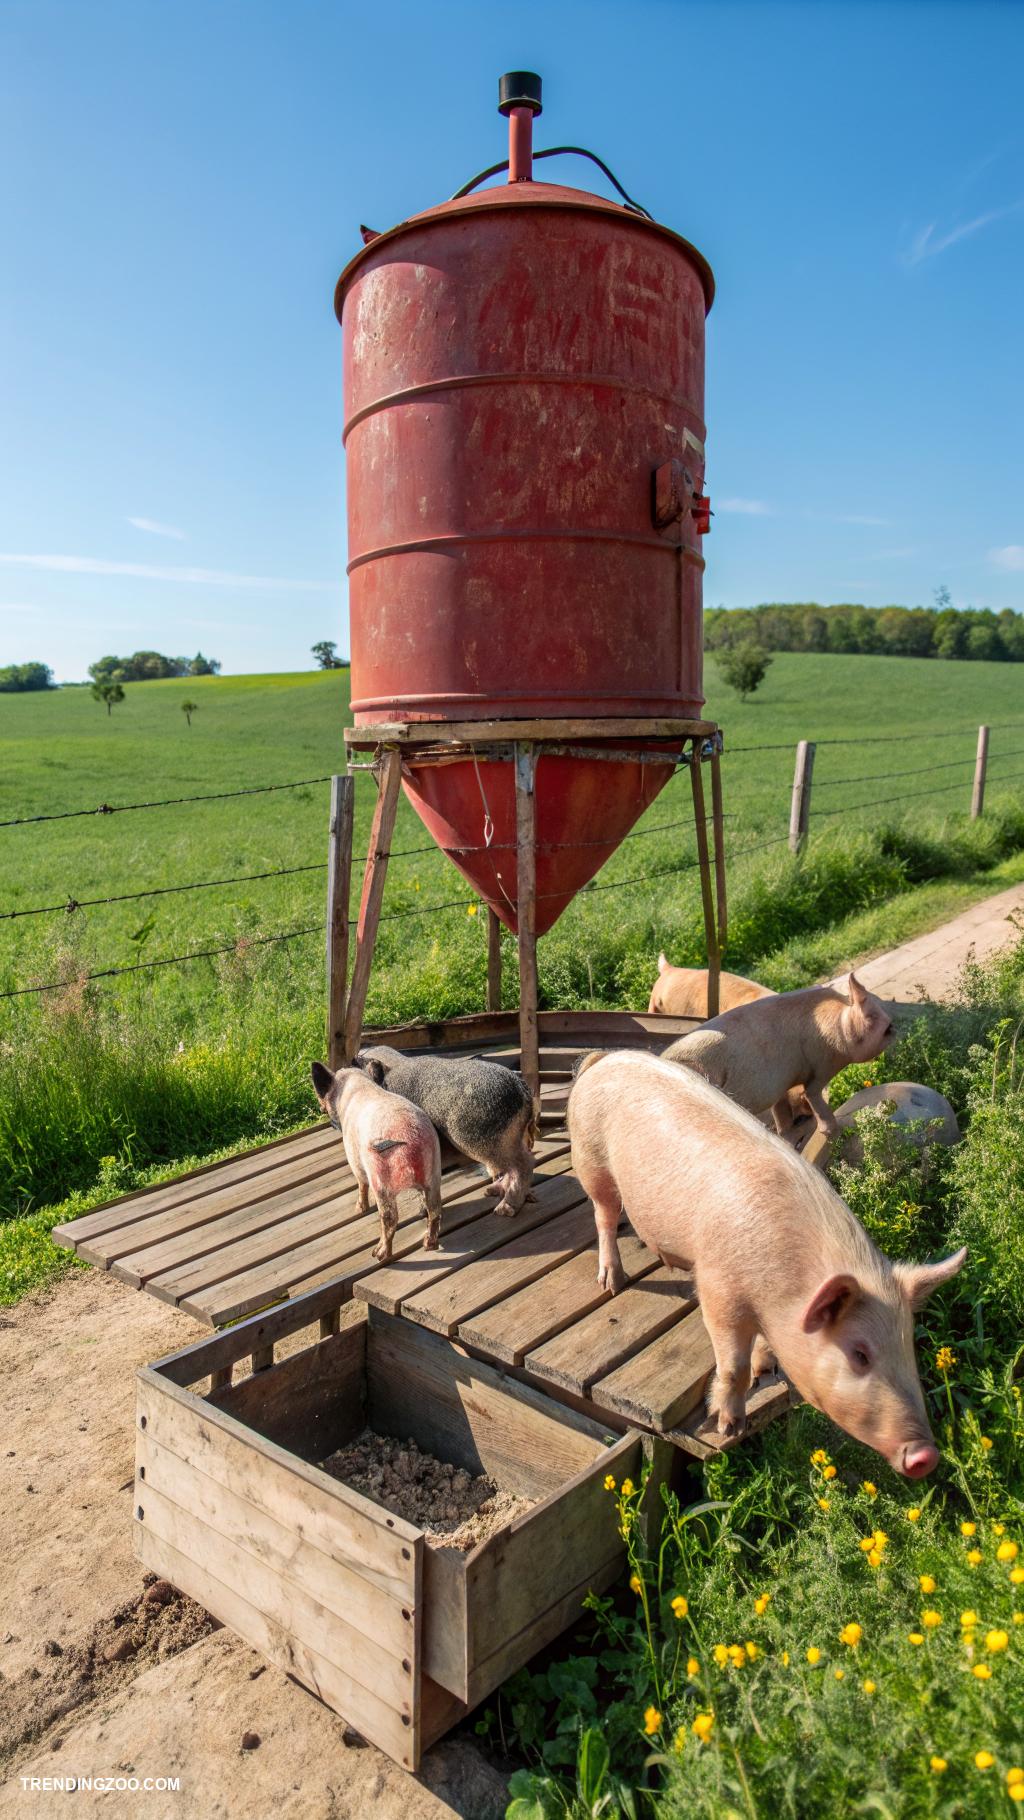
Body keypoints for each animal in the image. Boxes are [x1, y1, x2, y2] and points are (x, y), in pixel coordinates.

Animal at [311, 1060, 442, 1262]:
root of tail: (412, 1140)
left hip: (382, 1181)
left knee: (389, 1218)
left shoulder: (355, 1159)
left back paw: (380, 1254)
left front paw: (359, 1209)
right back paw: (429, 1244)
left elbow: (361, 1184)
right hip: (434, 1174)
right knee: (434, 1210)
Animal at [568, 1048, 965, 1475]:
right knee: (604, 1217)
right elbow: (733, 1367)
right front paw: (730, 1426)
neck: (780, 1291)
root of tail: (605, 1059)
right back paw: (612, 1283)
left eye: (908, 1345)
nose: (926, 1455)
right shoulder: (718, 1289)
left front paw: (766, 1369)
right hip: (591, 1162)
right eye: (859, 1354)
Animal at [661, 973, 894, 1137]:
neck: (836, 1026)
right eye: (871, 1015)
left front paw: (787, 1135)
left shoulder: (782, 1088)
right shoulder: (819, 1067)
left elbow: (782, 1117)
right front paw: (835, 1133)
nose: (893, 1026)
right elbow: (813, 1095)